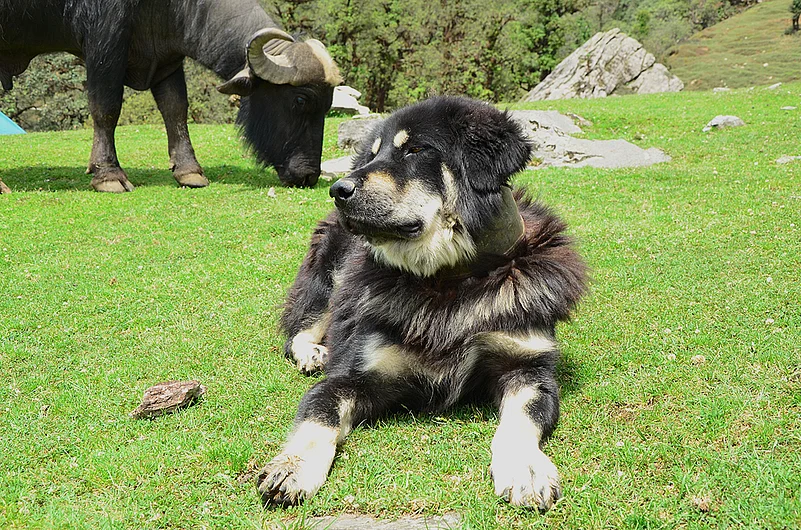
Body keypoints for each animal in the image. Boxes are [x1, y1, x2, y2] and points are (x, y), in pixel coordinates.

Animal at [257, 96, 588, 511]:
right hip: (329, 277)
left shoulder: (528, 367)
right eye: (372, 155)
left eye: (414, 150)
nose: (337, 189)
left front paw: (525, 466)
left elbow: (522, 419)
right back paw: (312, 353)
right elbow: (320, 413)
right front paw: (293, 465)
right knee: (300, 330)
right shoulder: (354, 376)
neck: (446, 279)